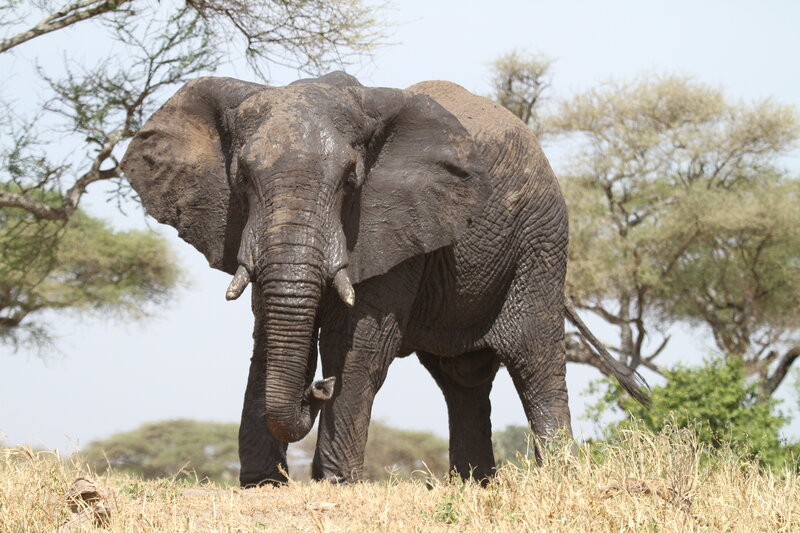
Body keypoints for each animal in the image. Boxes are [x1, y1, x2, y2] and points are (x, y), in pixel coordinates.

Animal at [120, 71, 647, 486]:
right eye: (243, 178)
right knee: (463, 380)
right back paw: (474, 485)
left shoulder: (391, 221)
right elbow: (267, 334)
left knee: (535, 360)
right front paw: (262, 486)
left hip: (541, 240)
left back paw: (558, 477)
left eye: (349, 182)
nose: (317, 387)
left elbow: (356, 344)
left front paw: (335, 484)